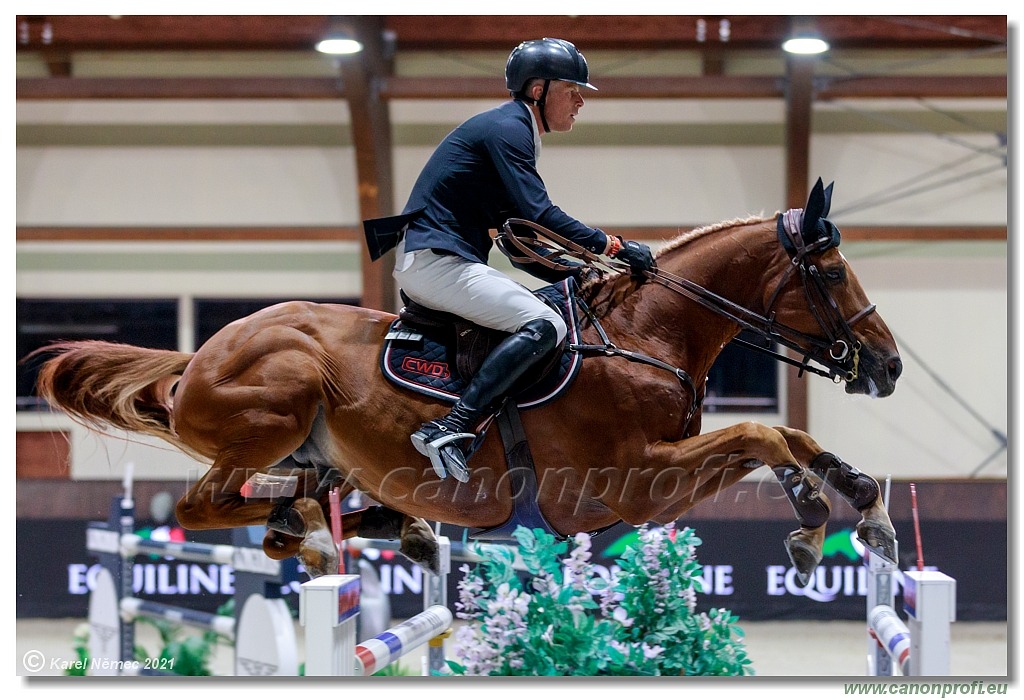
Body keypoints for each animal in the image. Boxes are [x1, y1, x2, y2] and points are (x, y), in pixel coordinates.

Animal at [28, 179, 901, 585]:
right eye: (830, 272)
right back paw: (312, 531)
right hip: (278, 397)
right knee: (203, 506)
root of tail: (199, 357)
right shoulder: (628, 483)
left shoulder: (648, 485)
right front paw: (811, 523)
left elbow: (788, 433)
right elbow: (762, 431)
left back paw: (368, 525)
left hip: (320, 446)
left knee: (306, 500)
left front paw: (862, 503)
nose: (889, 365)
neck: (645, 333)